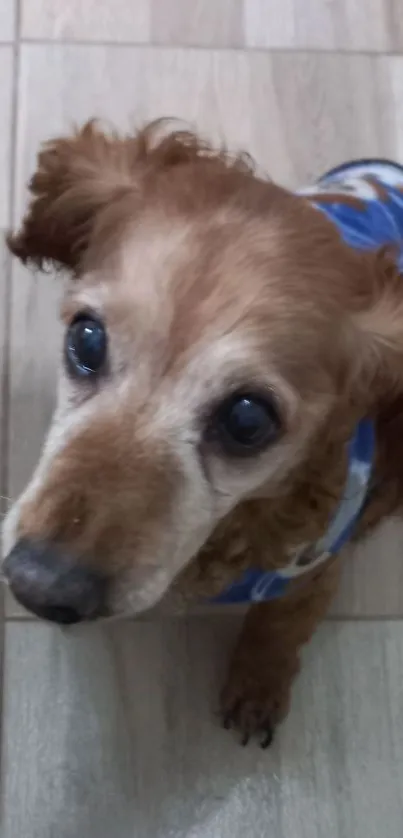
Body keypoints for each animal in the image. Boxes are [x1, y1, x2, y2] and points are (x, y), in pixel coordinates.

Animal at [3, 118, 403, 748]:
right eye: (86, 340)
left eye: (247, 420)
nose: (40, 586)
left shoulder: (316, 571)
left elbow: (279, 624)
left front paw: (258, 685)